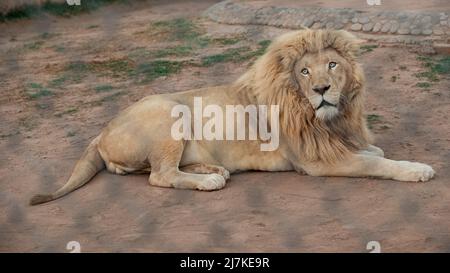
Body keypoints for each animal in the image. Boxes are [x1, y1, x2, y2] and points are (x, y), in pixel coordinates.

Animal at [29, 29, 436, 204]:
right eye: (305, 72)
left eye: (332, 65)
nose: (322, 89)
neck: (324, 117)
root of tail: (101, 132)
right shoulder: (315, 162)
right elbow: (378, 163)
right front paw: (417, 169)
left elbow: (373, 152)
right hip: (168, 112)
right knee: (160, 176)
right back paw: (209, 181)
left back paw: (211, 170)